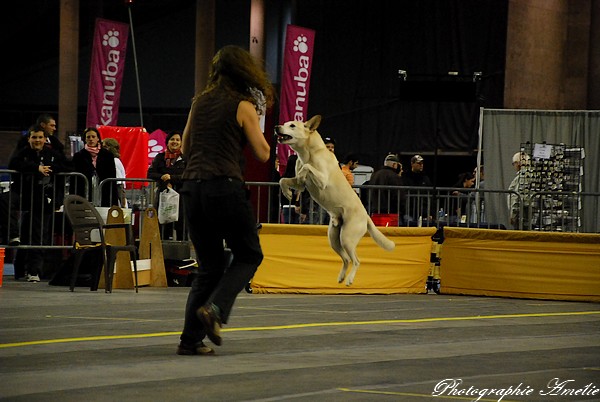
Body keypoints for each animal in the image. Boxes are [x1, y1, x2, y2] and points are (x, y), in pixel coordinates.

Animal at [276, 114, 394, 286]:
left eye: (292, 125)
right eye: (285, 123)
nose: (276, 127)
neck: (307, 153)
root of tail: (366, 217)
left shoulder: (322, 179)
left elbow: (307, 168)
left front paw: (303, 172)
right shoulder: (299, 184)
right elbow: (283, 180)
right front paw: (287, 193)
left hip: (347, 238)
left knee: (356, 260)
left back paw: (349, 279)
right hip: (334, 238)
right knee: (346, 259)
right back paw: (341, 277)